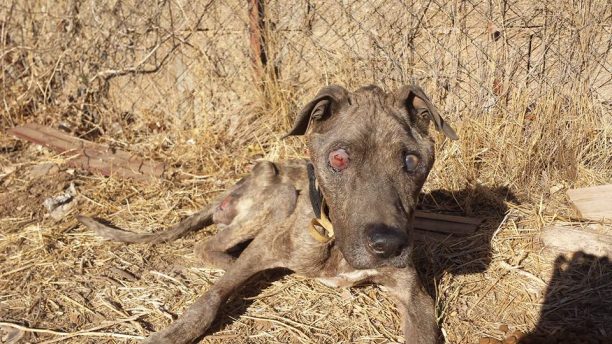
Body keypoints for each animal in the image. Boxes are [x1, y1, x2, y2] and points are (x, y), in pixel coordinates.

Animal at [77, 84, 460, 344]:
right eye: (338, 158)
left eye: (411, 161)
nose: (388, 245)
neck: (332, 237)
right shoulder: (263, 249)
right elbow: (208, 301)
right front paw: (173, 332)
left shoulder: (413, 294)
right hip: (279, 195)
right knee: (208, 247)